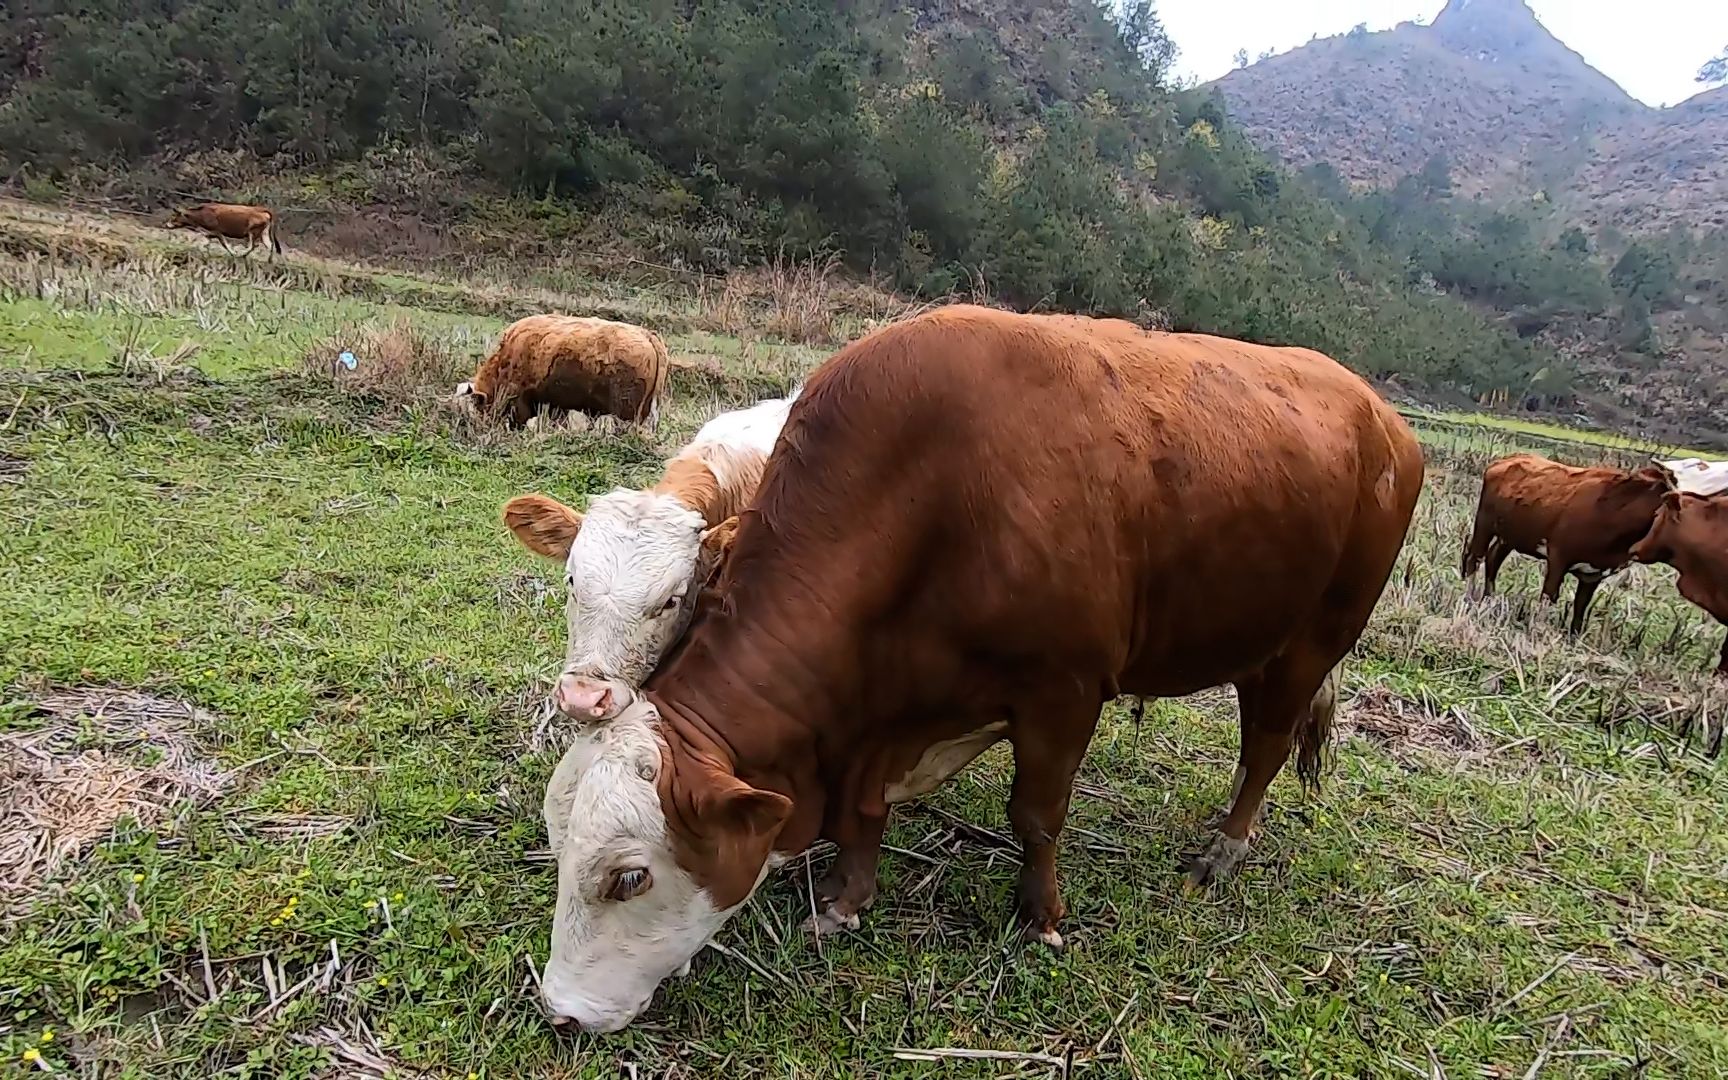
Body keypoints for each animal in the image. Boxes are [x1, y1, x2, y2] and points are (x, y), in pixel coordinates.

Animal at [532, 304, 1423, 1029]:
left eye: (629, 878)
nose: (561, 1010)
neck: (923, 499)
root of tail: (1380, 413)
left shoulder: (1063, 691)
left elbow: (1036, 815)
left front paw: (1043, 915)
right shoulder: (881, 708)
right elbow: (864, 815)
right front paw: (846, 901)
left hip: (1316, 638)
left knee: (1266, 745)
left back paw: (1226, 847)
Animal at [1458, 452, 1672, 632]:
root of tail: (1508, 459)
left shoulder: (1593, 574)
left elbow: (1580, 607)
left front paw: (1573, 638)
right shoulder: (1558, 557)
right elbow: (1549, 596)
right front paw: (1538, 631)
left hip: (1510, 535)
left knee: (1493, 558)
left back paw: (1488, 599)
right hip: (1484, 524)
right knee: (1475, 558)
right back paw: (1469, 598)